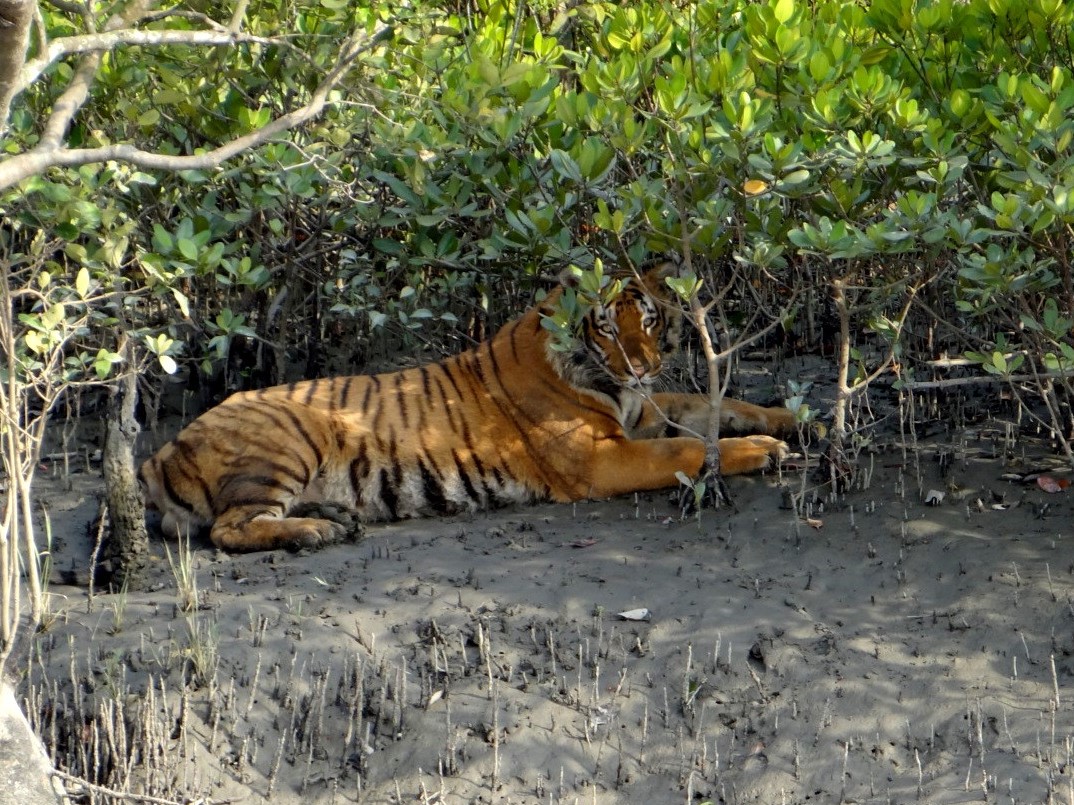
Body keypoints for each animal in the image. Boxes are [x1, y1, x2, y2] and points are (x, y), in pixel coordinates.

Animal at [138, 261, 794, 553]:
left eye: (650, 320)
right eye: (607, 326)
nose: (642, 367)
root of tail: (159, 452)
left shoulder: (644, 413)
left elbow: (711, 404)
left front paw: (784, 419)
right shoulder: (602, 458)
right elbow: (687, 447)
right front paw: (766, 449)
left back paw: (335, 516)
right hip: (287, 442)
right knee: (227, 529)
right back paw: (317, 531)